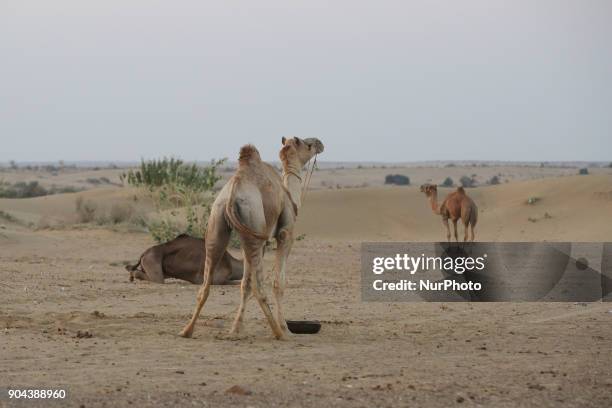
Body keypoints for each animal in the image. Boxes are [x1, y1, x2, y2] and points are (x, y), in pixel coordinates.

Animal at [179, 135, 326, 340]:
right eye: (308, 144)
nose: (320, 143)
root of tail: (232, 193)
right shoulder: (285, 233)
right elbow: (278, 283)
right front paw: (286, 328)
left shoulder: (248, 240)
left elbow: (244, 284)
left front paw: (236, 329)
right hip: (253, 221)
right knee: (258, 286)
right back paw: (278, 332)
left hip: (219, 226)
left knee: (206, 284)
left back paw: (186, 330)